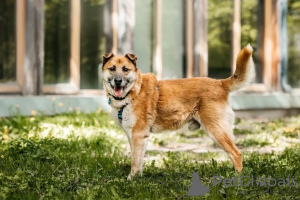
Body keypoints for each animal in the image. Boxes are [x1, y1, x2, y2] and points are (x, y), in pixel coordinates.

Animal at [102, 44, 254, 179]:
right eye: (112, 68)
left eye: (125, 69)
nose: (118, 81)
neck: (133, 92)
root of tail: (220, 83)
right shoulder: (134, 136)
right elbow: (138, 161)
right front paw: (138, 178)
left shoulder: (138, 135)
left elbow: (134, 162)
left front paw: (131, 180)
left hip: (216, 130)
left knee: (236, 153)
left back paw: (237, 178)